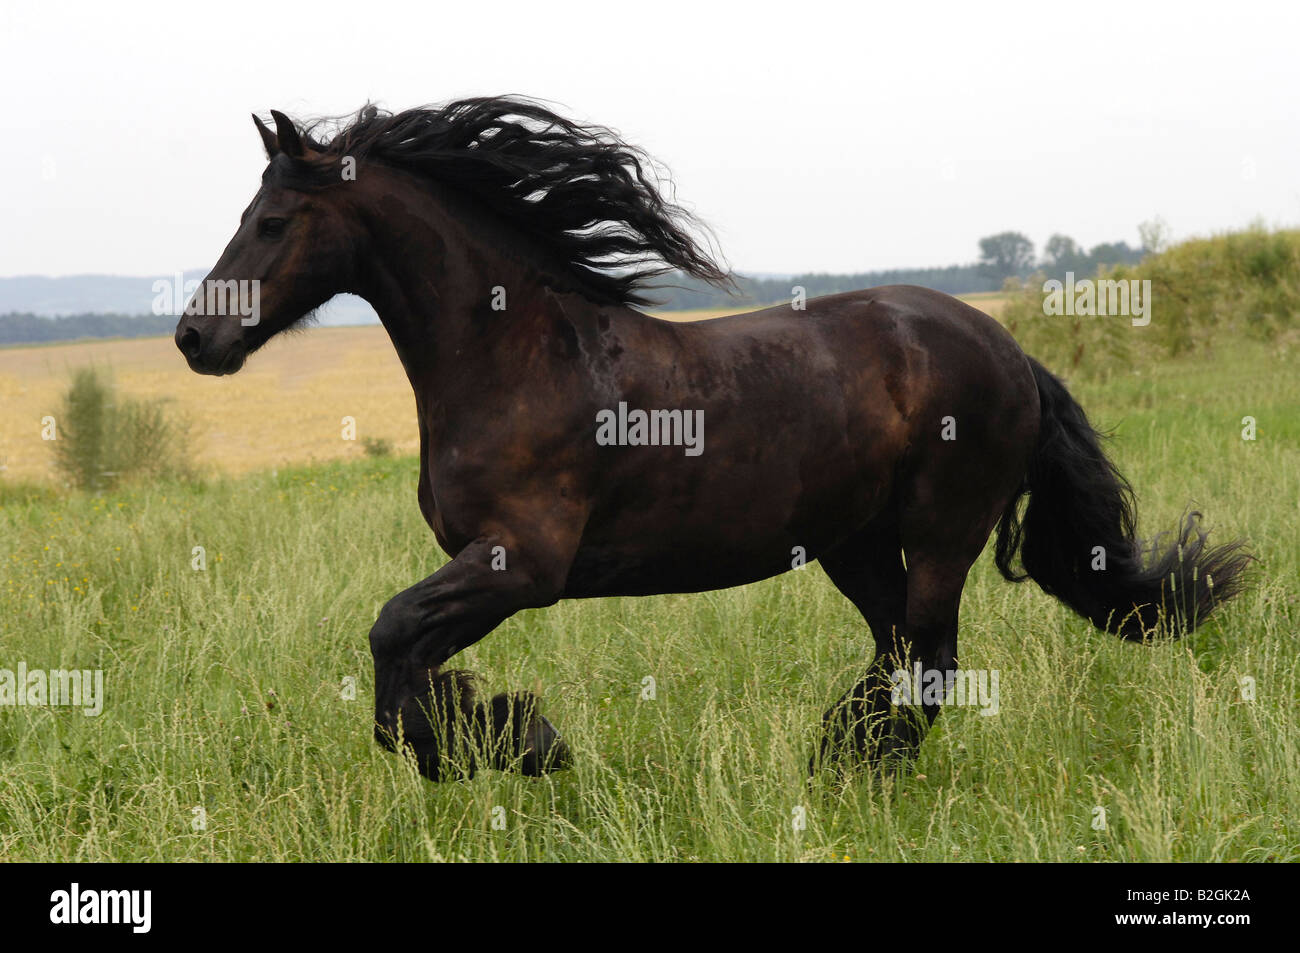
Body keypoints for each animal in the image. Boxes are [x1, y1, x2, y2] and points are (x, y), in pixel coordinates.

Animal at [174, 96, 1252, 781]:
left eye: (272, 221)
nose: (195, 338)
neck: (517, 355)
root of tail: (1006, 347)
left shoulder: (521, 563)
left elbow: (393, 637)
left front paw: (520, 746)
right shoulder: (489, 569)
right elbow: (404, 661)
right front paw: (501, 735)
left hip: (942, 529)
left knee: (932, 659)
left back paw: (862, 771)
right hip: (853, 542)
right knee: (896, 649)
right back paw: (834, 759)